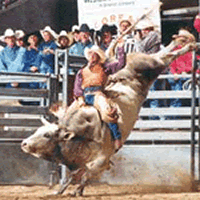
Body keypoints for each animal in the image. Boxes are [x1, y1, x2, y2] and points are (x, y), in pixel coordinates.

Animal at [20, 28, 197, 195]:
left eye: (47, 135)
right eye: (38, 130)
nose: (24, 143)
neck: (80, 134)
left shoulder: (102, 159)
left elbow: (87, 173)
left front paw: (77, 191)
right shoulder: (78, 163)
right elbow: (73, 176)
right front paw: (60, 190)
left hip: (151, 65)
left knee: (166, 55)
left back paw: (189, 43)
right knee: (166, 52)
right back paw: (184, 39)